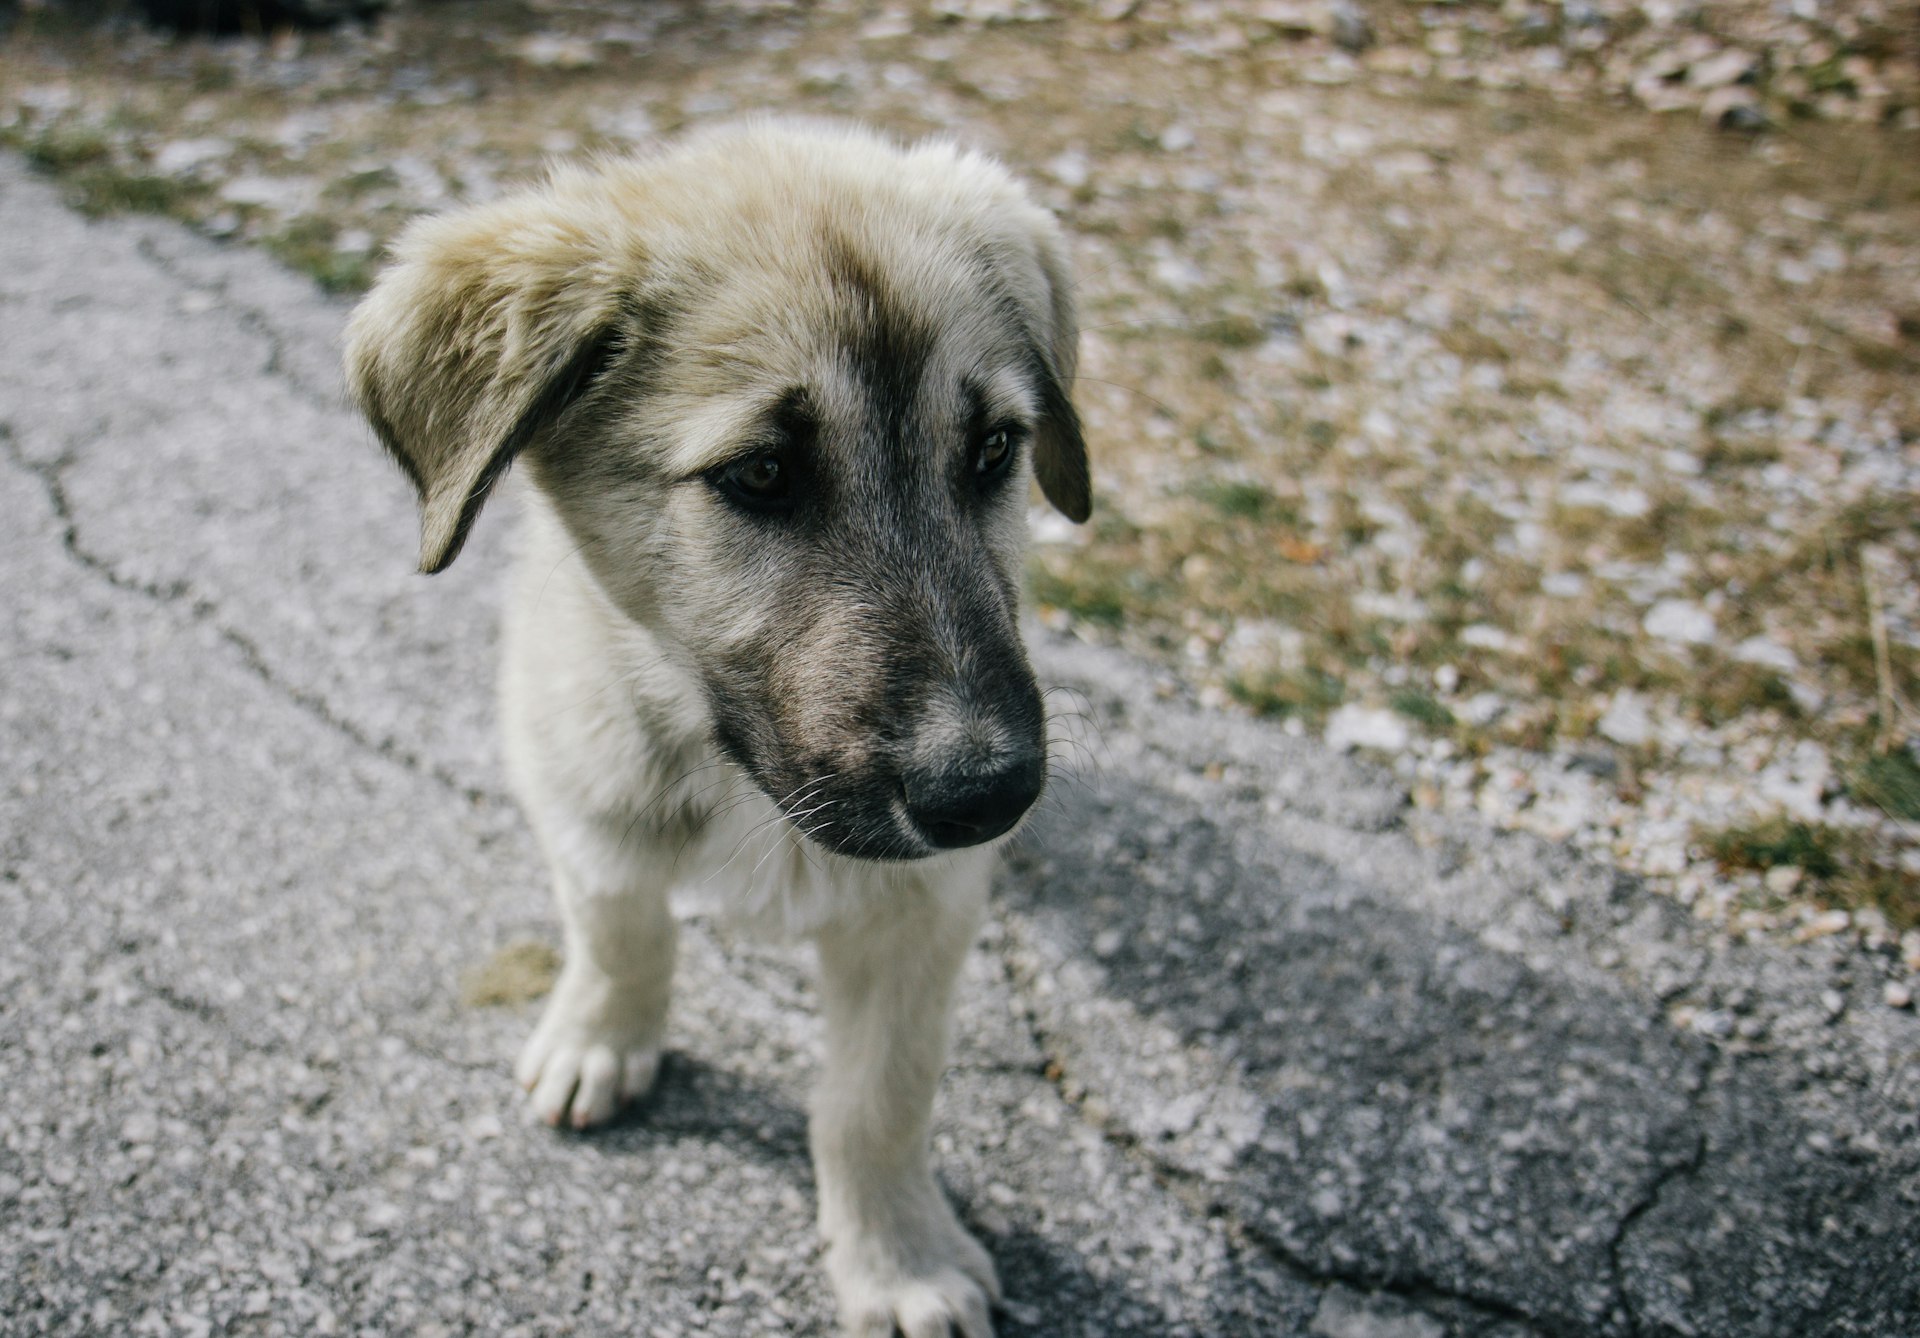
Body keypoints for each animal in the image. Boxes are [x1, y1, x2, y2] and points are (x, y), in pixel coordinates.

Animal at [345, 117, 1090, 1336]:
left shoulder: (923, 916)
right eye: (763, 473)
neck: (742, 780)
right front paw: (604, 1035)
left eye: (994, 452)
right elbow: (622, 934)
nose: (989, 793)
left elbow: (877, 1098)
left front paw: (896, 1255)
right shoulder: (582, 797)